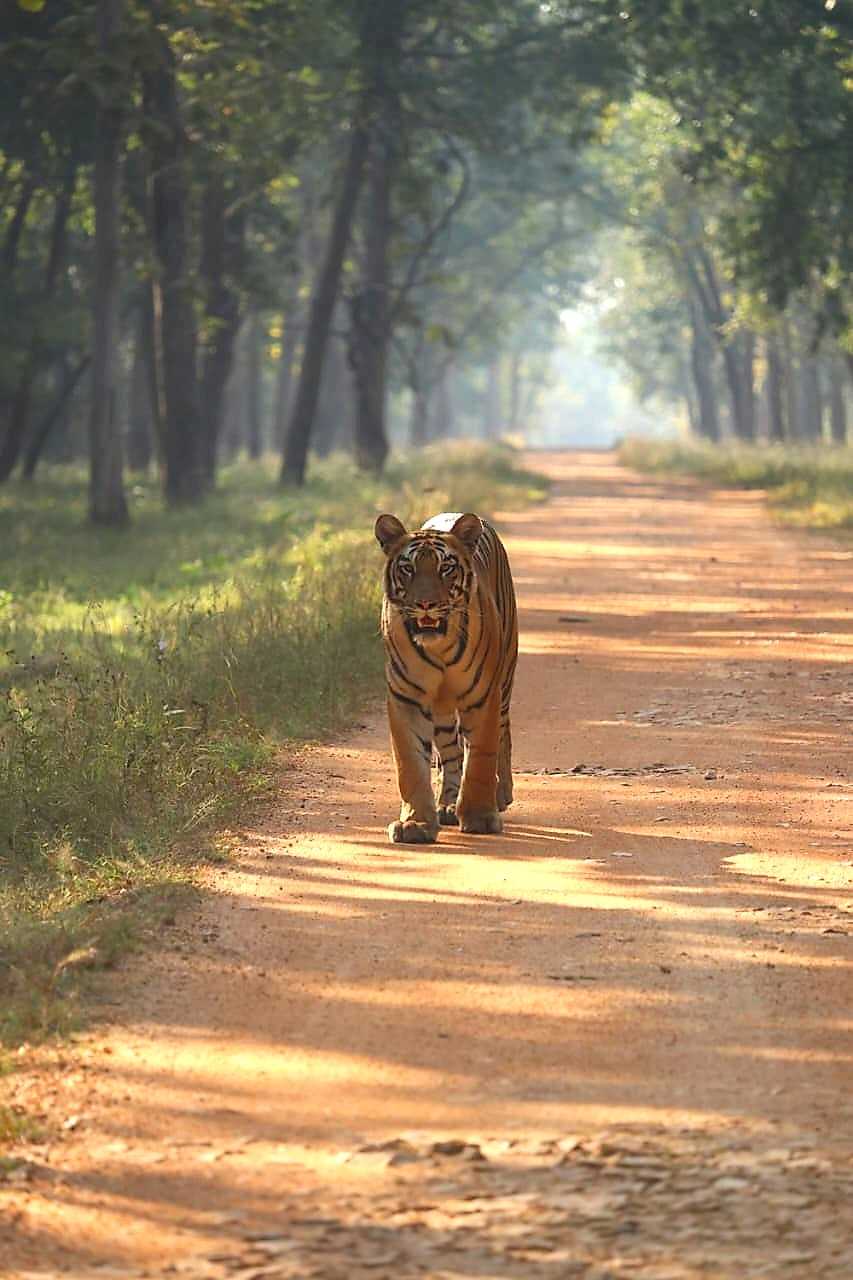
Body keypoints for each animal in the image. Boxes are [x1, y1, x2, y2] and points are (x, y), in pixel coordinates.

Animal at [374, 510, 518, 844]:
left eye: (446, 568)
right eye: (408, 569)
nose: (426, 604)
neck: (437, 647)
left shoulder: (484, 697)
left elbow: (480, 758)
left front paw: (480, 817)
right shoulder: (406, 699)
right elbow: (411, 764)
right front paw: (415, 824)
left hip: (505, 680)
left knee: (503, 734)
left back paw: (501, 794)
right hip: (440, 711)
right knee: (451, 753)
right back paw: (449, 804)